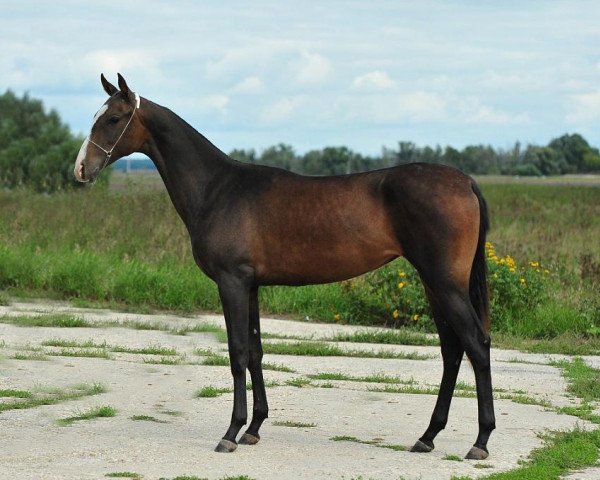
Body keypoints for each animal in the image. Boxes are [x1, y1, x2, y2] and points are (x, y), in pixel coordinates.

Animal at [74, 73, 496, 460]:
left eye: (113, 118)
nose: (81, 170)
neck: (218, 188)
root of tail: (466, 182)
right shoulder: (251, 285)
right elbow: (256, 351)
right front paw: (254, 428)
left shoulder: (231, 282)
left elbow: (237, 352)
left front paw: (231, 432)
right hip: (434, 284)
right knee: (452, 350)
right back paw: (428, 436)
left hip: (445, 284)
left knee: (476, 344)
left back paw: (480, 442)